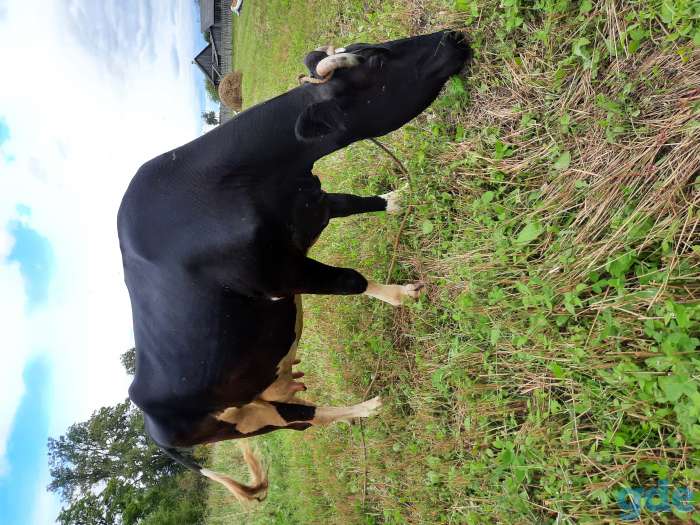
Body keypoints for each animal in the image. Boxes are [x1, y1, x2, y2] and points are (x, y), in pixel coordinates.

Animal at [117, 30, 472, 502]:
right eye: (377, 62)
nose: (455, 35)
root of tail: (147, 420)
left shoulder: (312, 202)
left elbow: (352, 202)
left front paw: (395, 199)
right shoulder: (282, 273)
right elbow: (350, 280)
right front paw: (402, 295)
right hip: (252, 420)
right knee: (303, 419)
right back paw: (366, 407)